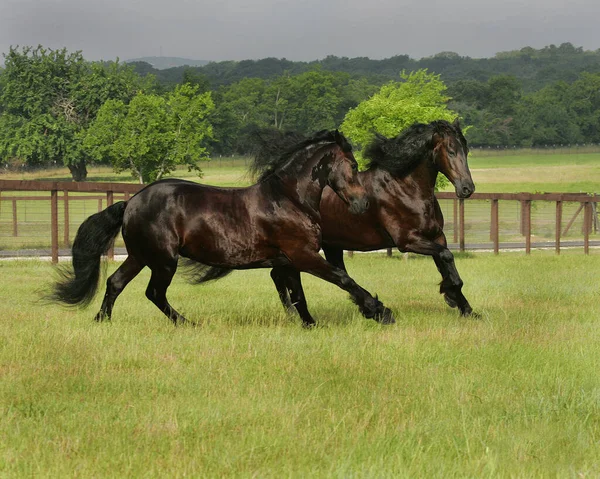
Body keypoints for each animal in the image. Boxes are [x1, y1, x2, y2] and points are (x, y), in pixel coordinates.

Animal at [51, 131, 396, 326]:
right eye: (354, 165)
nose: (363, 204)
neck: (289, 200)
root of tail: (132, 203)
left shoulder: (289, 261)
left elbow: (298, 296)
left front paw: (311, 325)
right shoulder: (304, 255)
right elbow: (342, 279)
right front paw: (380, 311)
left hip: (140, 256)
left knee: (115, 283)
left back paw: (102, 321)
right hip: (163, 260)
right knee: (154, 293)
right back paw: (187, 323)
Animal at [260, 120, 476, 326]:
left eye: (466, 151)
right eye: (451, 151)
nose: (467, 188)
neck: (407, 188)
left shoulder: (436, 236)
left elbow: (446, 262)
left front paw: (464, 307)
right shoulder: (408, 241)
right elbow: (446, 256)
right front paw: (451, 295)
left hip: (329, 246)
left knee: (287, 273)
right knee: (284, 275)